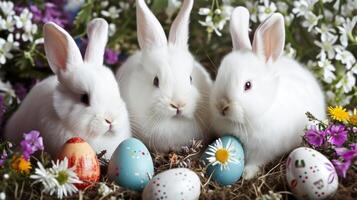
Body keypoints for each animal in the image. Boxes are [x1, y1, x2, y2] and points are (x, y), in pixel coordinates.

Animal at [209, 7, 326, 180]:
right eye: (218, 76)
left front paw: (247, 174)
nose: (222, 106)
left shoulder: (263, 150)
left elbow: (256, 161)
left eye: (248, 85)